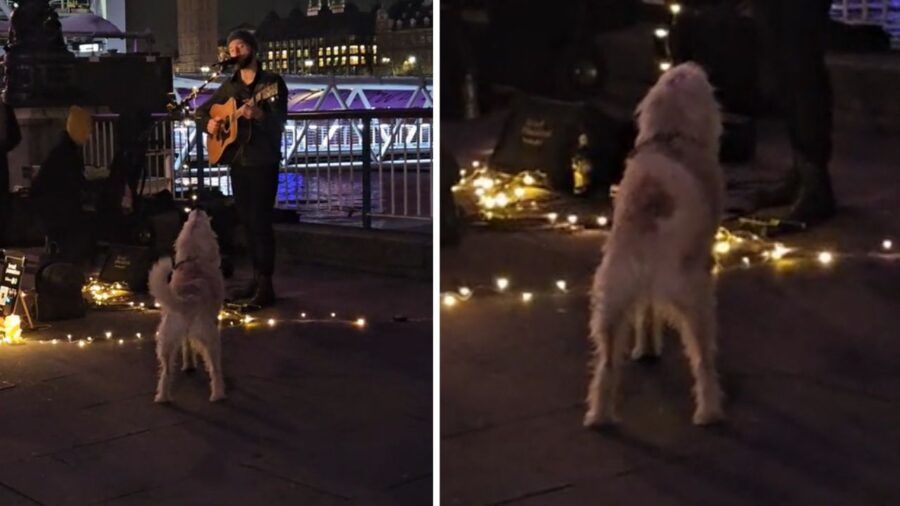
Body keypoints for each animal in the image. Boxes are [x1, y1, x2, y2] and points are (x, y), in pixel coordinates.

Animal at [149, 210, 227, 404]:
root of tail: (187, 299)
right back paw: (218, 394)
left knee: (166, 372)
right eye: (207, 223)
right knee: (215, 369)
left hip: (166, 341)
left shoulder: (183, 337)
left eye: (187, 221)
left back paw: (163, 397)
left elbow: (187, 347)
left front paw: (189, 365)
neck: (194, 259)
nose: (198, 209)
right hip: (211, 339)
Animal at [588, 62, 728, 426]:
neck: (669, 138)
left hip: (611, 298)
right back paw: (709, 412)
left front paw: (647, 348)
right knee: (703, 360)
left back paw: (600, 415)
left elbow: (646, 313)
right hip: (694, 296)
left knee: (607, 363)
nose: (693, 65)